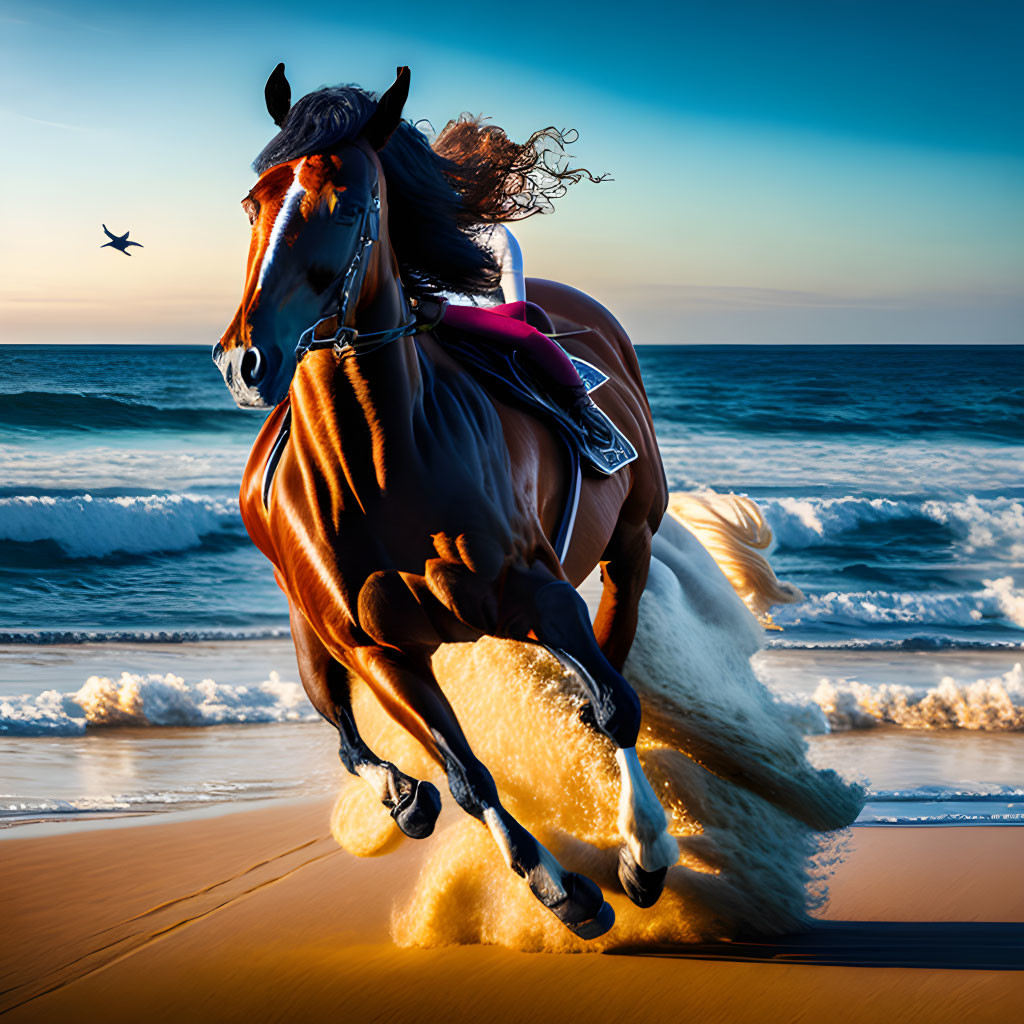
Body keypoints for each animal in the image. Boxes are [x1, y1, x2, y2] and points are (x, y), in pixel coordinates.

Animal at [214, 66, 679, 942]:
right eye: (255, 202)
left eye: (349, 202)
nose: (245, 360)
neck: (381, 469)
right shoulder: (380, 649)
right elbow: (464, 775)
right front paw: (559, 889)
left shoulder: (542, 595)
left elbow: (614, 706)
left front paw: (643, 854)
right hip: (312, 635)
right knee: (345, 731)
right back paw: (404, 798)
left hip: (626, 545)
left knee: (609, 671)